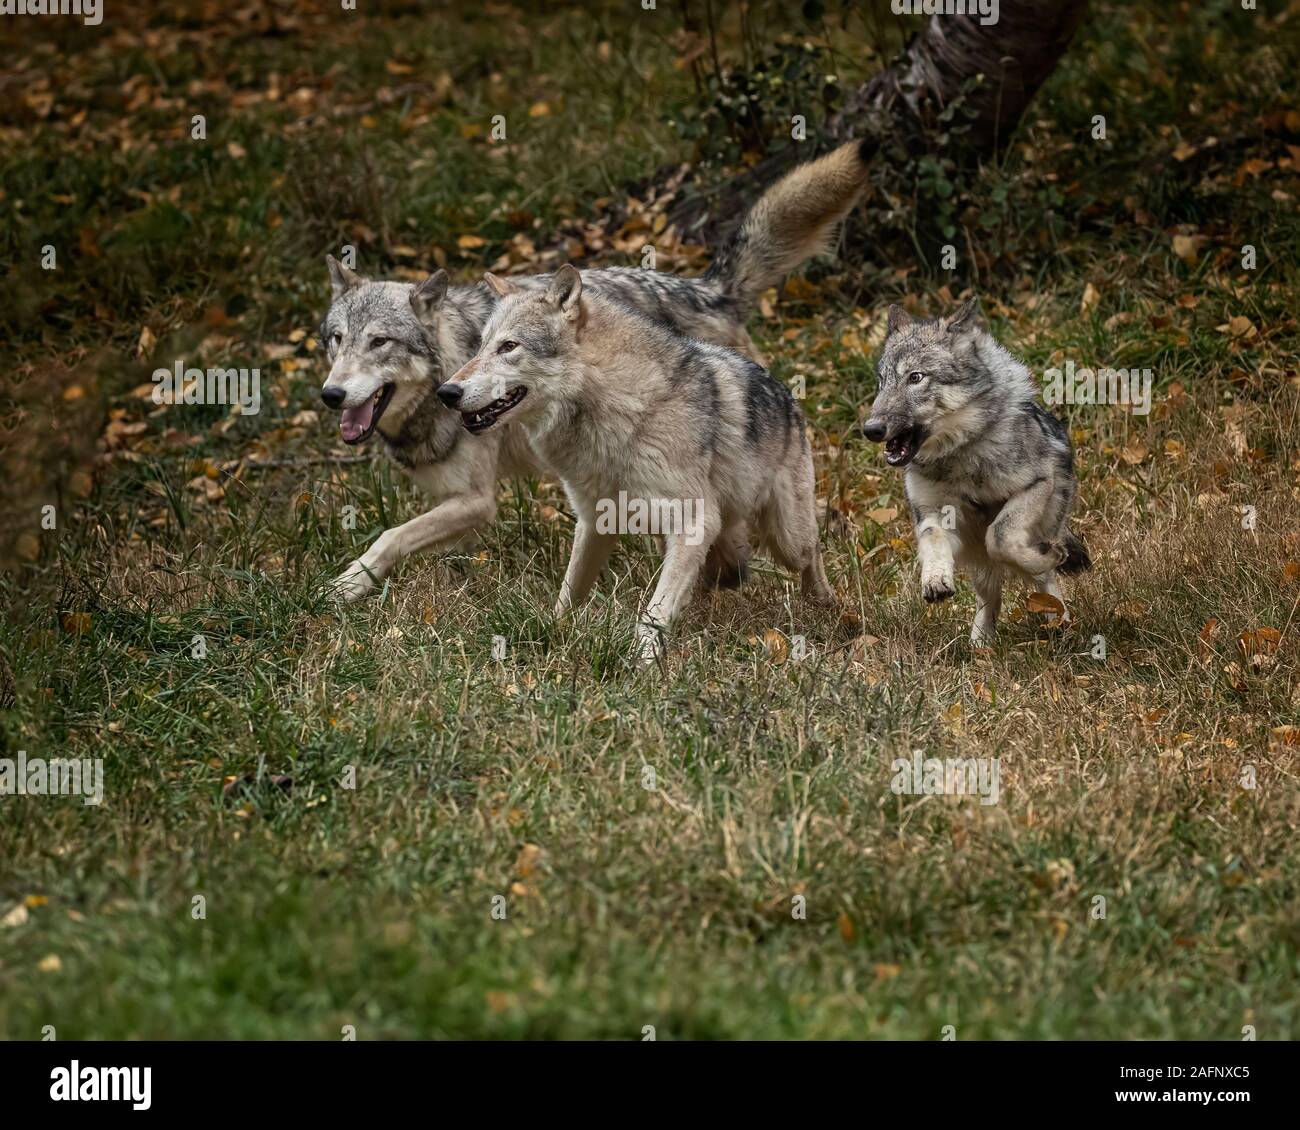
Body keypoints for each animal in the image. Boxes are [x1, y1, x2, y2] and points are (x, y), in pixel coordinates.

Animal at [431, 263, 826, 660]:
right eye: (481, 346)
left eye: (509, 346)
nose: (446, 392)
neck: (618, 405)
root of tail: (786, 393)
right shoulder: (594, 521)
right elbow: (569, 593)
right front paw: (554, 635)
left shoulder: (695, 522)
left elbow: (656, 609)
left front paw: (643, 661)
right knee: (729, 569)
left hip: (787, 539)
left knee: (811, 556)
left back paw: (828, 608)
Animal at [857, 297, 1092, 644]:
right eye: (882, 382)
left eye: (916, 377)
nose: (871, 429)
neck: (960, 456)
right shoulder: (932, 512)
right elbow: (933, 539)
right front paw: (935, 579)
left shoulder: (1036, 485)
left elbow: (1001, 535)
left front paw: (1048, 556)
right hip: (979, 563)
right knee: (990, 598)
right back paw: (980, 646)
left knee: (1044, 579)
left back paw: (1059, 622)